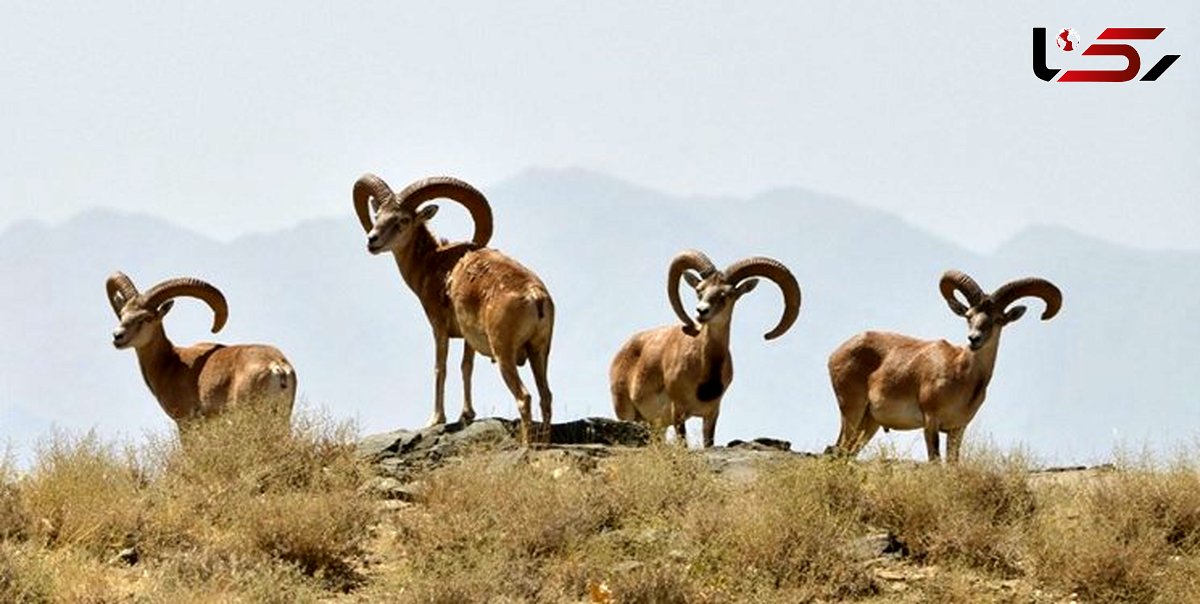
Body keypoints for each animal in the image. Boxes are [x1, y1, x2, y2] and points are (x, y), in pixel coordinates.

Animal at [106, 273, 297, 429]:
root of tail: (277, 367)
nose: (118, 336)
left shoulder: (185, 421)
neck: (170, 364)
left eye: (146, 318)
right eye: (123, 314)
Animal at [348, 174, 552, 444]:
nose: (372, 240)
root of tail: (535, 296)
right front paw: (466, 415)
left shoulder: (439, 327)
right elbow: (466, 367)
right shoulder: (468, 338)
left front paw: (436, 419)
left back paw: (527, 446)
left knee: (524, 397)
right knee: (546, 397)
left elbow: (440, 367)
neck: (433, 262)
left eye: (403, 220)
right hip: (540, 352)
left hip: (504, 354)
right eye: (378, 214)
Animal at [614, 248, 801, 446]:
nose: (701, 311)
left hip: (656, 425)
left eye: (726, 294)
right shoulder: (678, 410)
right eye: (699, 290)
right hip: (628, 414)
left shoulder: (711, 413)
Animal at [830, 270, 1065, 463]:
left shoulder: (957, 429)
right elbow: (935, 462)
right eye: (969, 316)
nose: (974, 339)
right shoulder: (931, 421)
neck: (961, 376)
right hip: (851, 411)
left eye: (999, 319)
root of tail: (835, 354)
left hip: (869, 422)